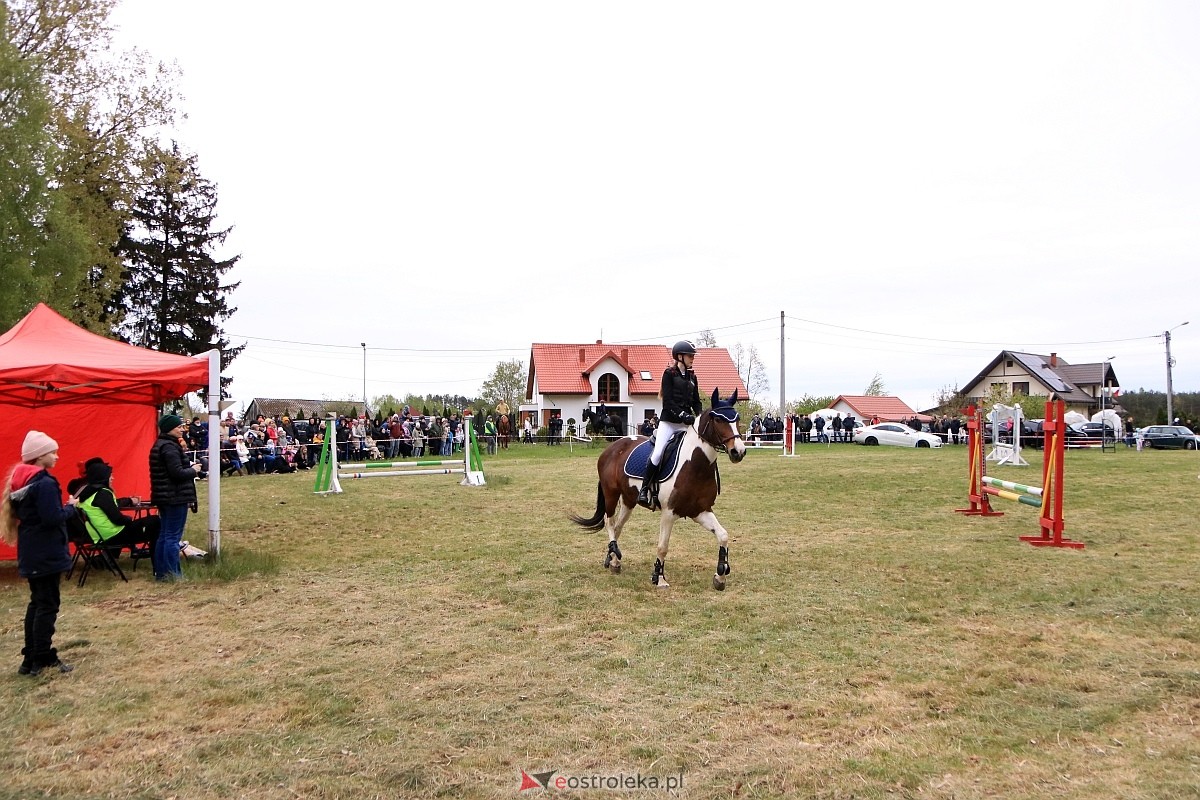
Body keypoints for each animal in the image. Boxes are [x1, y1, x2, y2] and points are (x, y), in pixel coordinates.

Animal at [568, 388, 744, 587]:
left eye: (737, 419)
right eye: (719, 420)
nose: (739, 451)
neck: (696, 465)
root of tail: (612, 447)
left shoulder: (700, 511)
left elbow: (723, 535)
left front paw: (720, 575)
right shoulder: (669, 512)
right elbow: (663, 547)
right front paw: (658, 577)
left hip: (629, 499)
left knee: (618, 527)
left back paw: (613, 560)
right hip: (611, 494)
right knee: (609, 522)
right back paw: (614, 554)